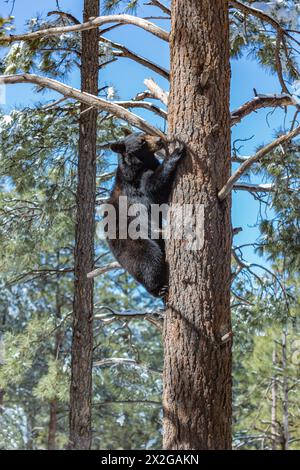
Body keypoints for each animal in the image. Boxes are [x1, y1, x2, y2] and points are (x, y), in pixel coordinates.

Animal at [105, 132, 185, 298]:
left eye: (145, 133)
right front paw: (177, 150)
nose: (159, 140)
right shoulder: (136, 186)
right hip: (134, 242)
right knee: (149, 261)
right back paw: (159, 288)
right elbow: (154, 188)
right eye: (141, 141)